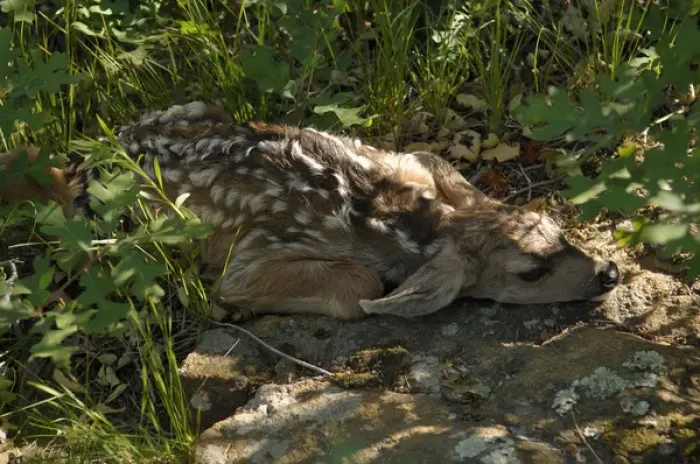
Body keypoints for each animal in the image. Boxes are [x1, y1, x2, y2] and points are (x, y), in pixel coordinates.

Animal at [0, 101, 621, 321]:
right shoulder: (256, 253)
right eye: (530, 272)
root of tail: (78, 170)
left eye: (558, 229)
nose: (610, 272)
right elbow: (358, 285)